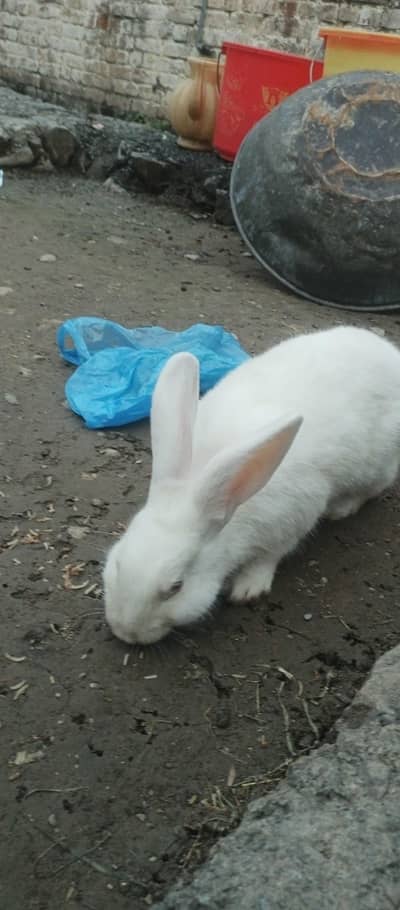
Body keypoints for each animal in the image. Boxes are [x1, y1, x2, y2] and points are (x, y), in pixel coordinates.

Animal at [103, 325, 400, 645]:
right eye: (118, 563)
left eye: (176, 587)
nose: (126, 633)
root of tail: (389, 353)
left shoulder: (293, 519)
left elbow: (270, 557)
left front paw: (247, 588)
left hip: (379, 462)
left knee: (371, 489)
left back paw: (342, 508)